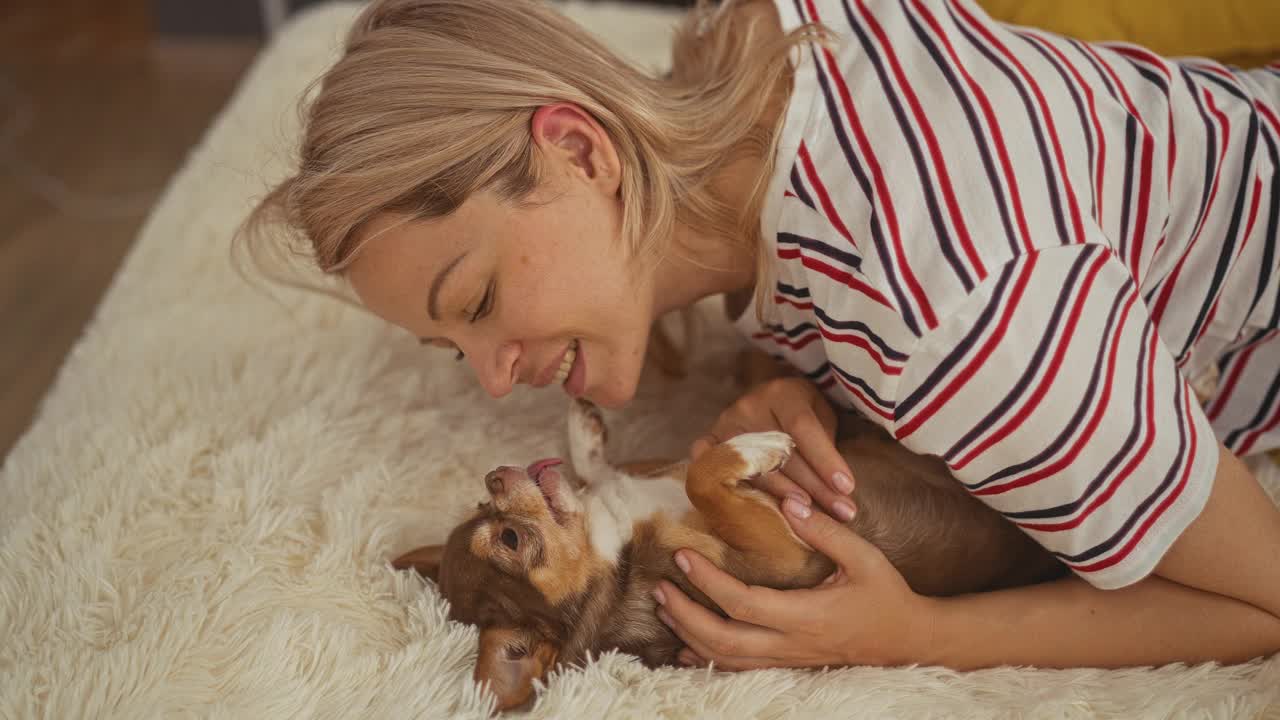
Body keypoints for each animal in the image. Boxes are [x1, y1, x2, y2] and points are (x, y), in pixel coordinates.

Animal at [394, 394, 1064, 707]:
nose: (494, 477)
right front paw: (757, 447)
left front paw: (584, 435)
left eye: (485, 514)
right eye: (509, 540)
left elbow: (618, 468)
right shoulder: (782, 560)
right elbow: (702, 477)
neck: (613, 540)